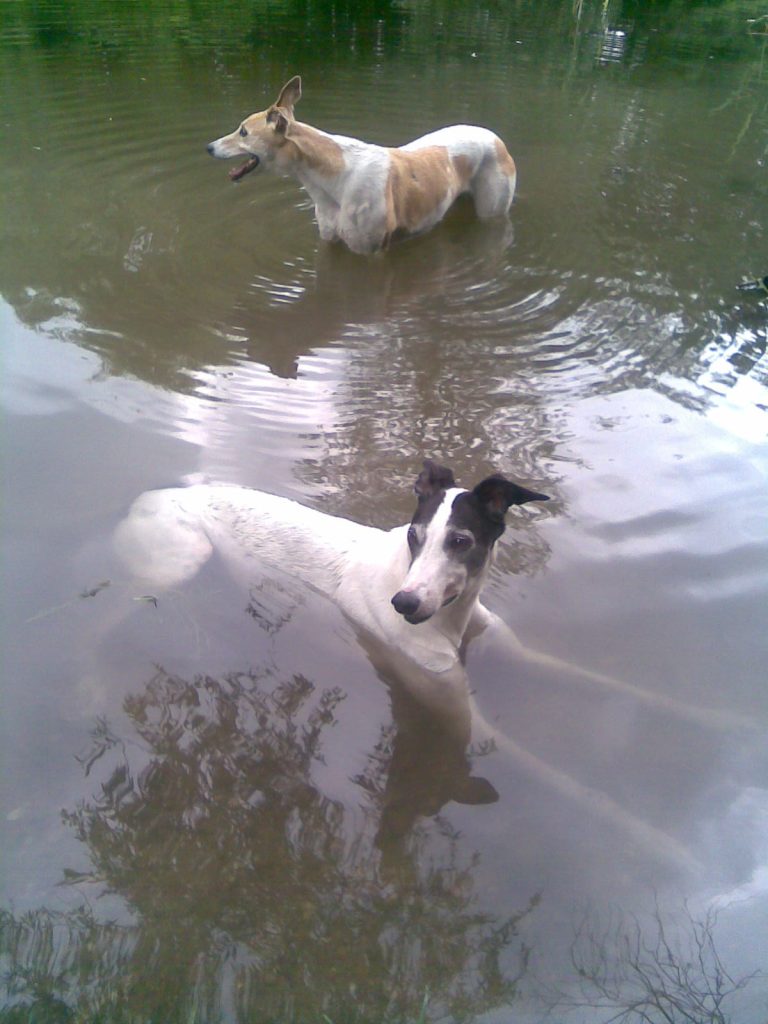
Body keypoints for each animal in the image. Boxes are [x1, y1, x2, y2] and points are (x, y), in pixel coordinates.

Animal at [206, 76, 517, 253]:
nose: (208, 147)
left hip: (492, 209)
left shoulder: (368, 249)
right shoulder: (329, 241)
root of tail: (495, 137)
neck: (335, 177)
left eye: (243, 132)